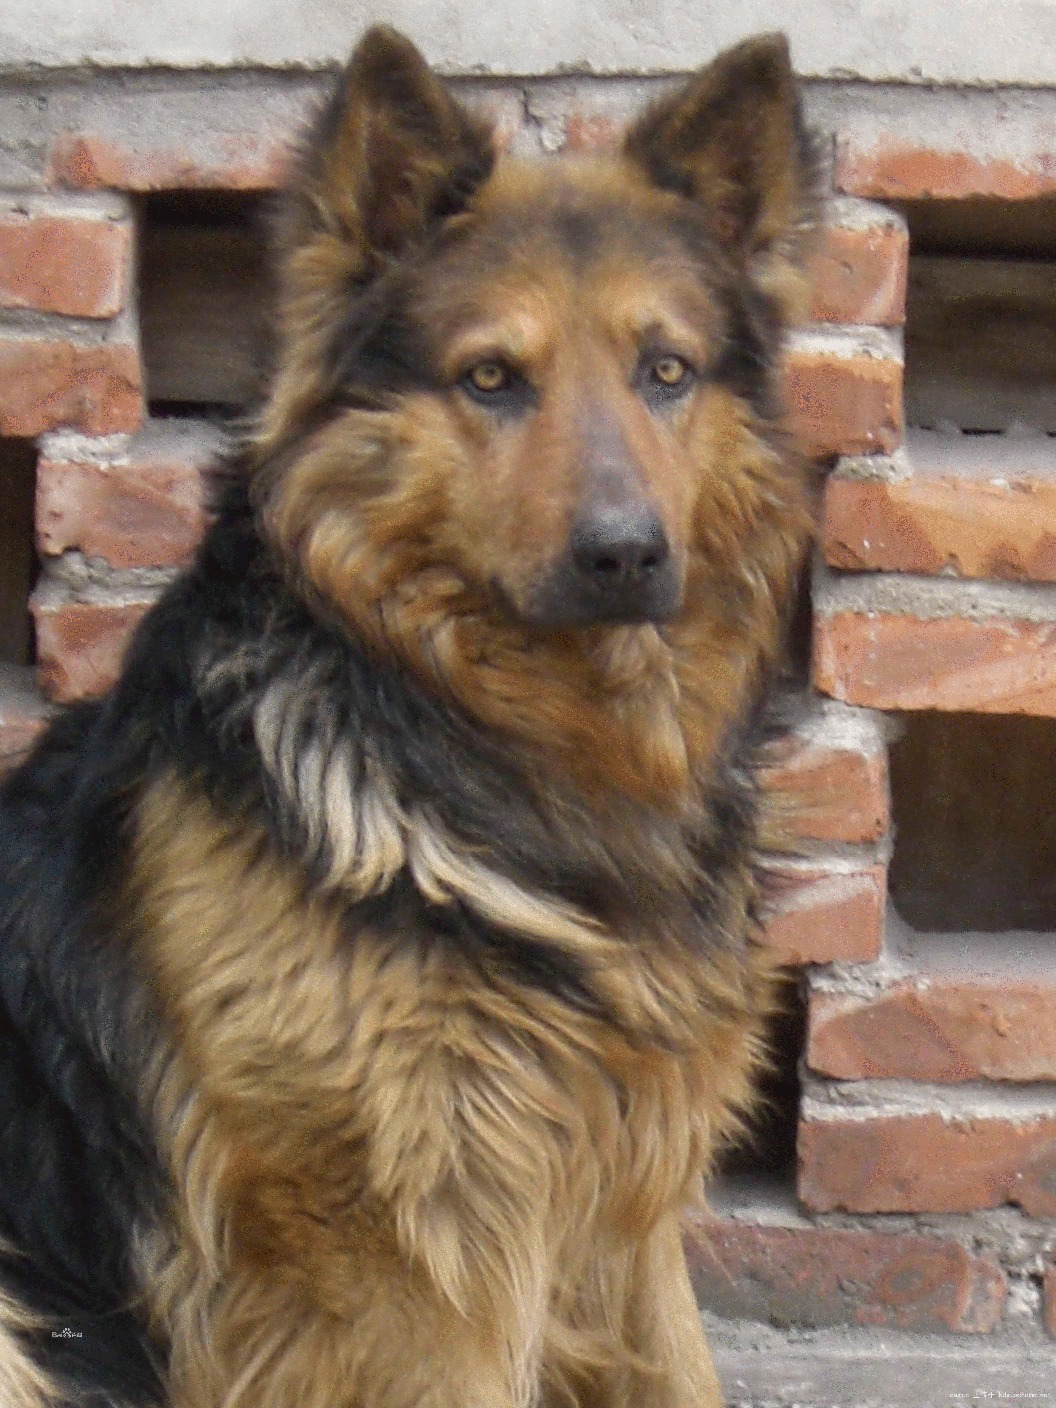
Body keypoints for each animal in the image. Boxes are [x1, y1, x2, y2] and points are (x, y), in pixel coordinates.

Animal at [0, 24, 816, 1408]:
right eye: (490, 378)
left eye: (666, 372)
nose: (625, 555)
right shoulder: (390, 1255)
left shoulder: (618, 1197)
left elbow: (682, 1366)